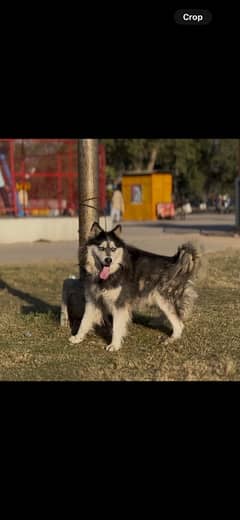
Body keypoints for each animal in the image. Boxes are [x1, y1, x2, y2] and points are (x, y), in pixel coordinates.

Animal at [69, 221, 199, 352]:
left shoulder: (119, 304)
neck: (112, 273)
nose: (108, 260)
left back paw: (171, 339)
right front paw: (78, 338)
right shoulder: (92, 300)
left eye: (113, 249)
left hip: (163, 300)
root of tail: (174, 261)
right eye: (101, 248)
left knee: (179, 324)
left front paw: (114, 345)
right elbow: (84, 321)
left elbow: (117, 326)